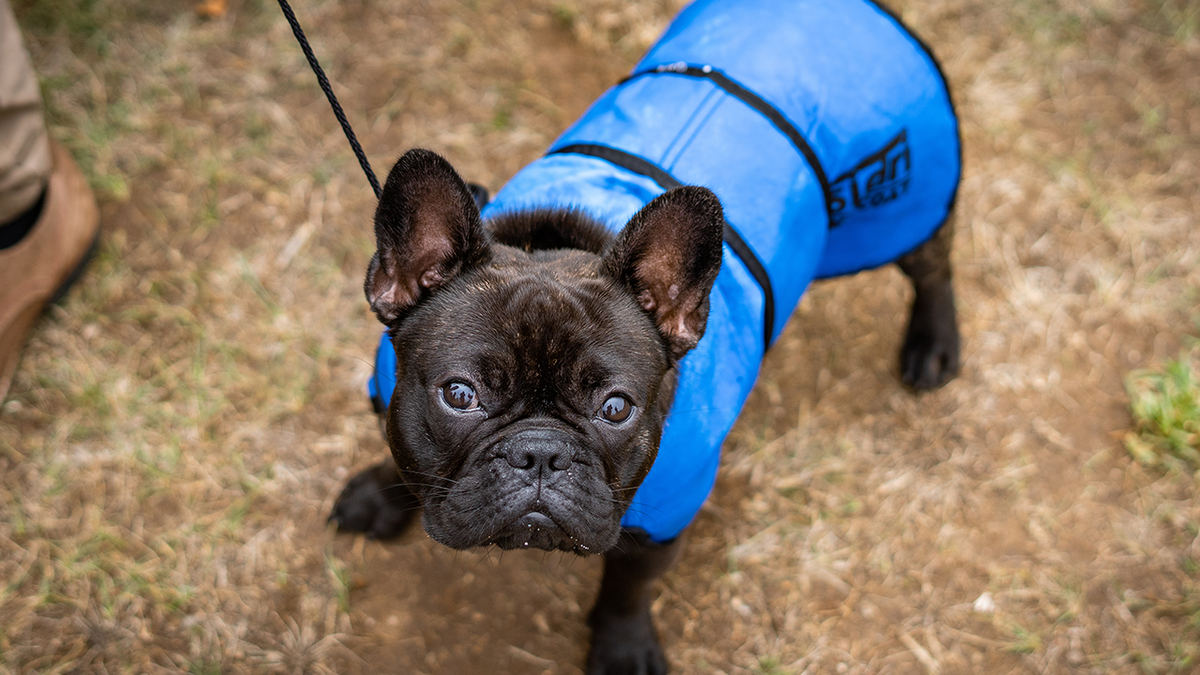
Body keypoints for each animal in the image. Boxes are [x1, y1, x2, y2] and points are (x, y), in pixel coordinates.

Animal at [326, 1, 955, 672]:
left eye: (616, 408)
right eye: (460, 395)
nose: (540, 453)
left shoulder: (665, 523)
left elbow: (629, 587)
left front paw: (623, 647)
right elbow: (399, 454)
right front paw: (379, 494)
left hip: (902, 209)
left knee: (935, 266)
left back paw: (934, 346)